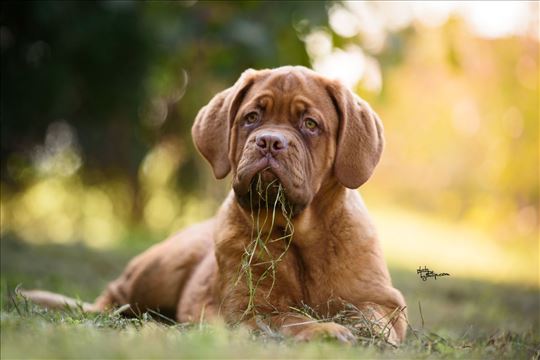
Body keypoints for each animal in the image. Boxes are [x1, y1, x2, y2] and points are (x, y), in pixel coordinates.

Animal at [23, 66, 408, 344]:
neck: (297, 234)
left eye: (310, 124)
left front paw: (364, 333)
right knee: (114, 301)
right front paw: (326, 330)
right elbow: (291, 318)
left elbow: (371, 318)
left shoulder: (384, 301)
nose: (270, 141)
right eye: (252, 118)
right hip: (160, 269)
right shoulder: (251, 309)